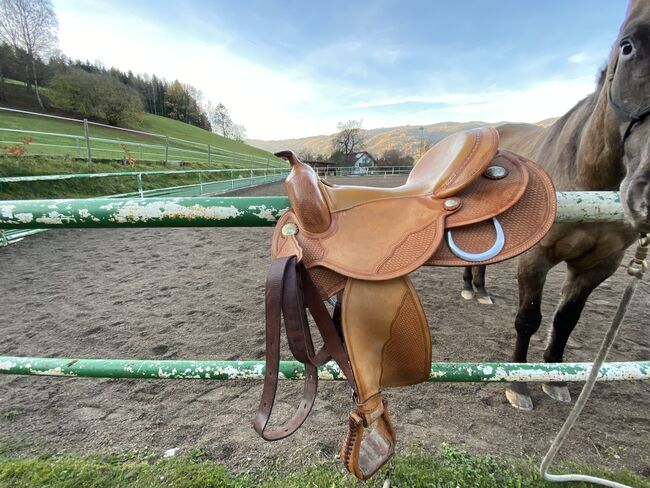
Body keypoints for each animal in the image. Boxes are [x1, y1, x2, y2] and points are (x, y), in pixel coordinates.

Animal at [464, 0, 644, 412]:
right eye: (628, 47)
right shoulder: (537, 256)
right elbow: (528, 318)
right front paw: (519, 383)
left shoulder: (600, 266)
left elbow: (566, 321)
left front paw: (556, 377)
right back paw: (469, 288)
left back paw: (481, 291)